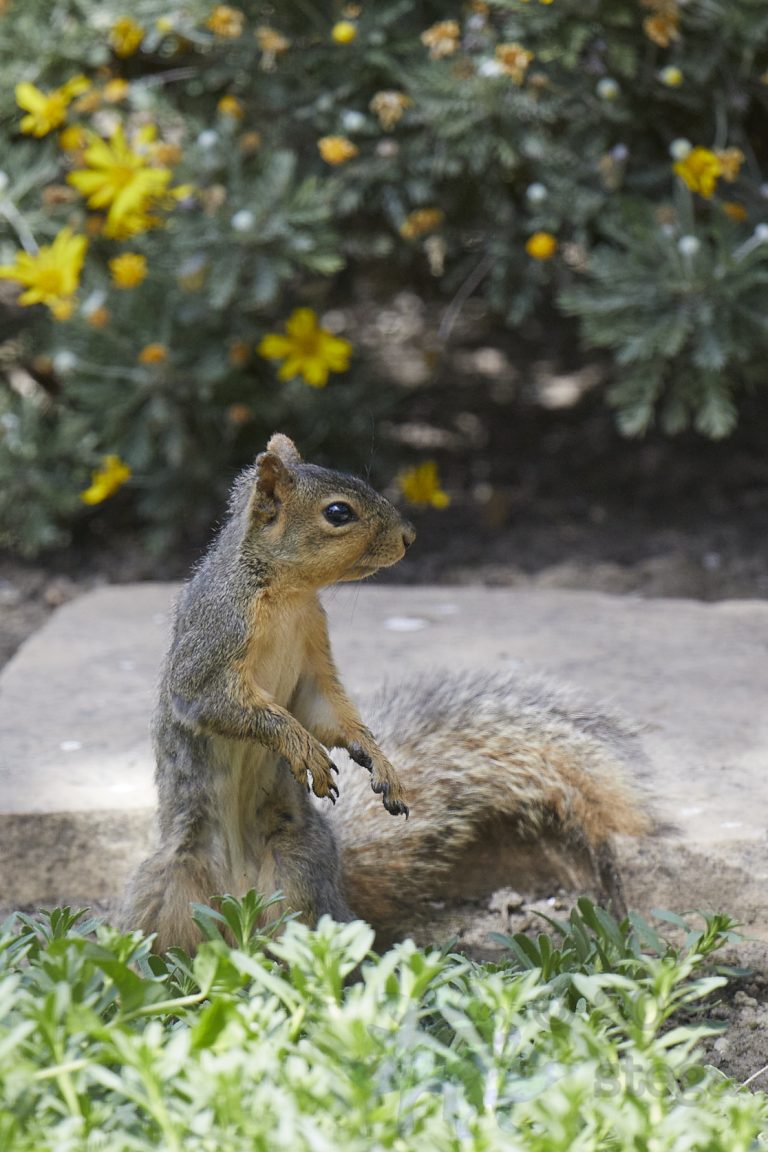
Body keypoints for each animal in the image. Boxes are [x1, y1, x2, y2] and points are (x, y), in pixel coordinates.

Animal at [121, 433, 650, 954]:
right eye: (338, 512)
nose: (410, 536)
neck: (288, 593)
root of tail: (236, 908)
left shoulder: (313, 655)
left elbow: (323, 710)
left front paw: (376, 757)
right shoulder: (213, 643)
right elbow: (218, 701)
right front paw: (299, 745)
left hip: (298, 878)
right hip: (164, 890)